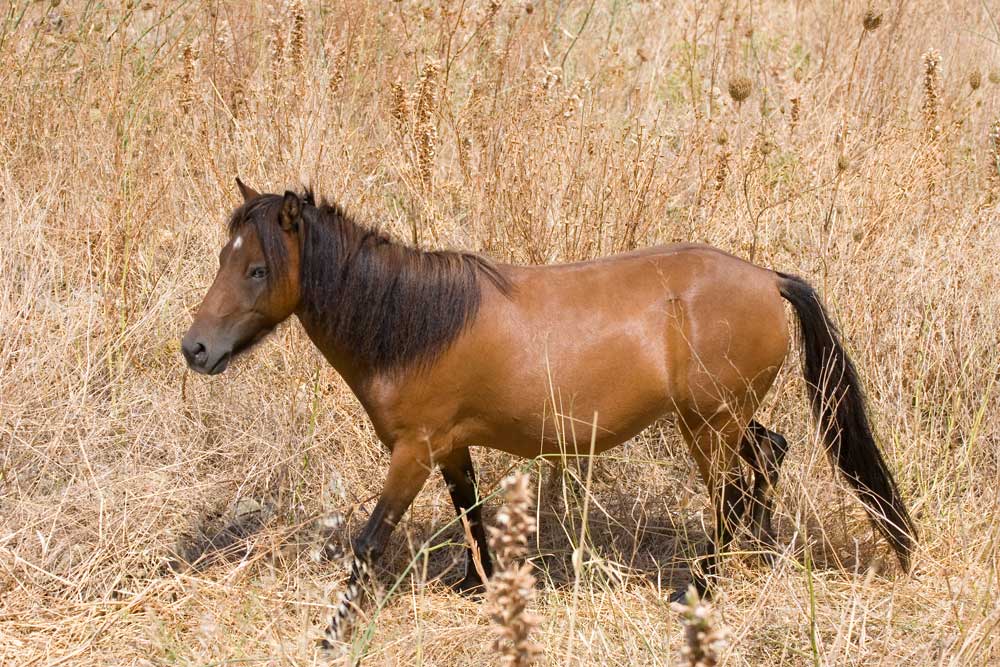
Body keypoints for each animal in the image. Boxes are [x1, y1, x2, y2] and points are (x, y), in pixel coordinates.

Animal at [184, 180, 916, 644]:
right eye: (225, 259)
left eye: (256, 269)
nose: (195, 348)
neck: (414, 322)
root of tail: (768, 278)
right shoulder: (450, 444)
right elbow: (471, 513)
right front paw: (477, 585)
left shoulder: (414, 449)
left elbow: (370, 541)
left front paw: (335, 629)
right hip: (724, 417)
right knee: (768, 455)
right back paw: (755, 558)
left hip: (708, 424)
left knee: (732, 489)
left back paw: (701, 588)